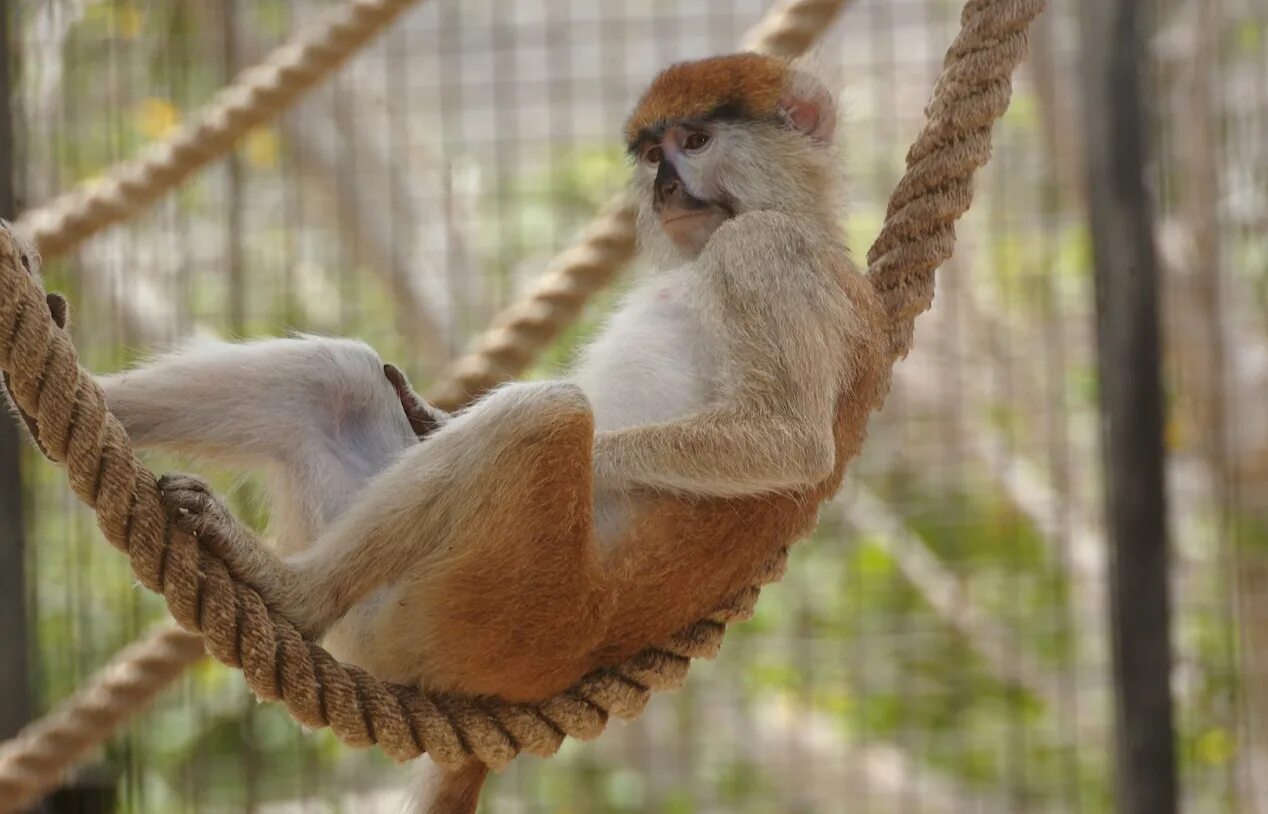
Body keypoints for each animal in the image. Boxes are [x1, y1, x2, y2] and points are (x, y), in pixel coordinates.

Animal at [22, 53, 892, 806]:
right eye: (652, 153)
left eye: (696, 141)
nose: (665, 186)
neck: (795, 214)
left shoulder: (768, 256)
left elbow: (786, 441)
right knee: (337, 376)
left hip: (488, 612)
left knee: (546, 413)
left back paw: (290, 590)